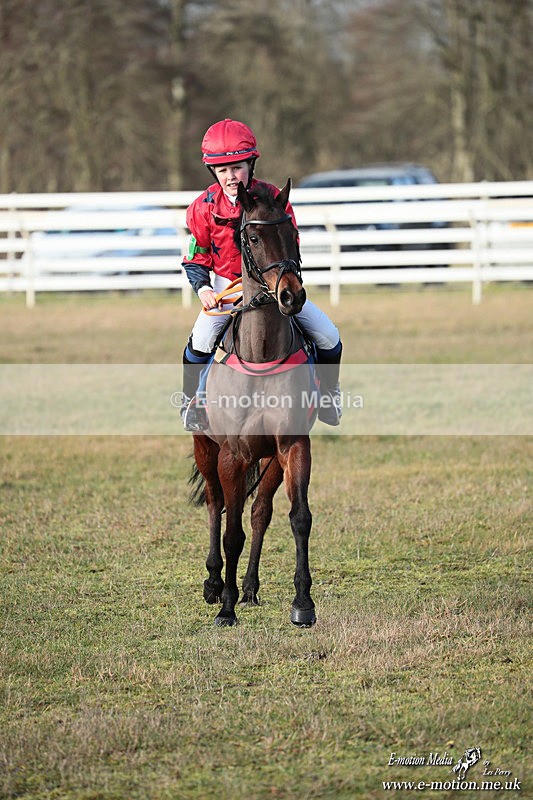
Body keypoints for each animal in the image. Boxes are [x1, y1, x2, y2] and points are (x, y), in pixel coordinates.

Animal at [190, 178, 317, 627]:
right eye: (255, 237)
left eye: (294, 232)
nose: (292, 296)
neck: (260, 356)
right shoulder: (234, 453)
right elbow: (232, 533)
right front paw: (225, 607)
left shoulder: (292, 445)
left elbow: (298, 517)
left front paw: (303, 603)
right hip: (206, 447)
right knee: (215, 505)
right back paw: (215, 583)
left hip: (270, 459)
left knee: (260, 510)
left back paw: (248, 587)